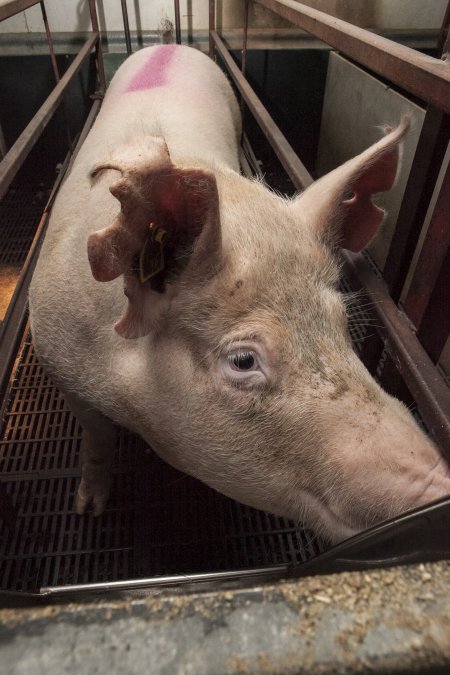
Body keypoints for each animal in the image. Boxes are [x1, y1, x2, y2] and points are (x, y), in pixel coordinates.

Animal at [29, 45, 448, 544]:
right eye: (244, 360)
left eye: (342, 323)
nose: (440, 487)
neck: (123, 389)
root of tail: (169, 44)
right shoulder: (59, 362)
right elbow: (96, 439)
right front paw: (88, 510)